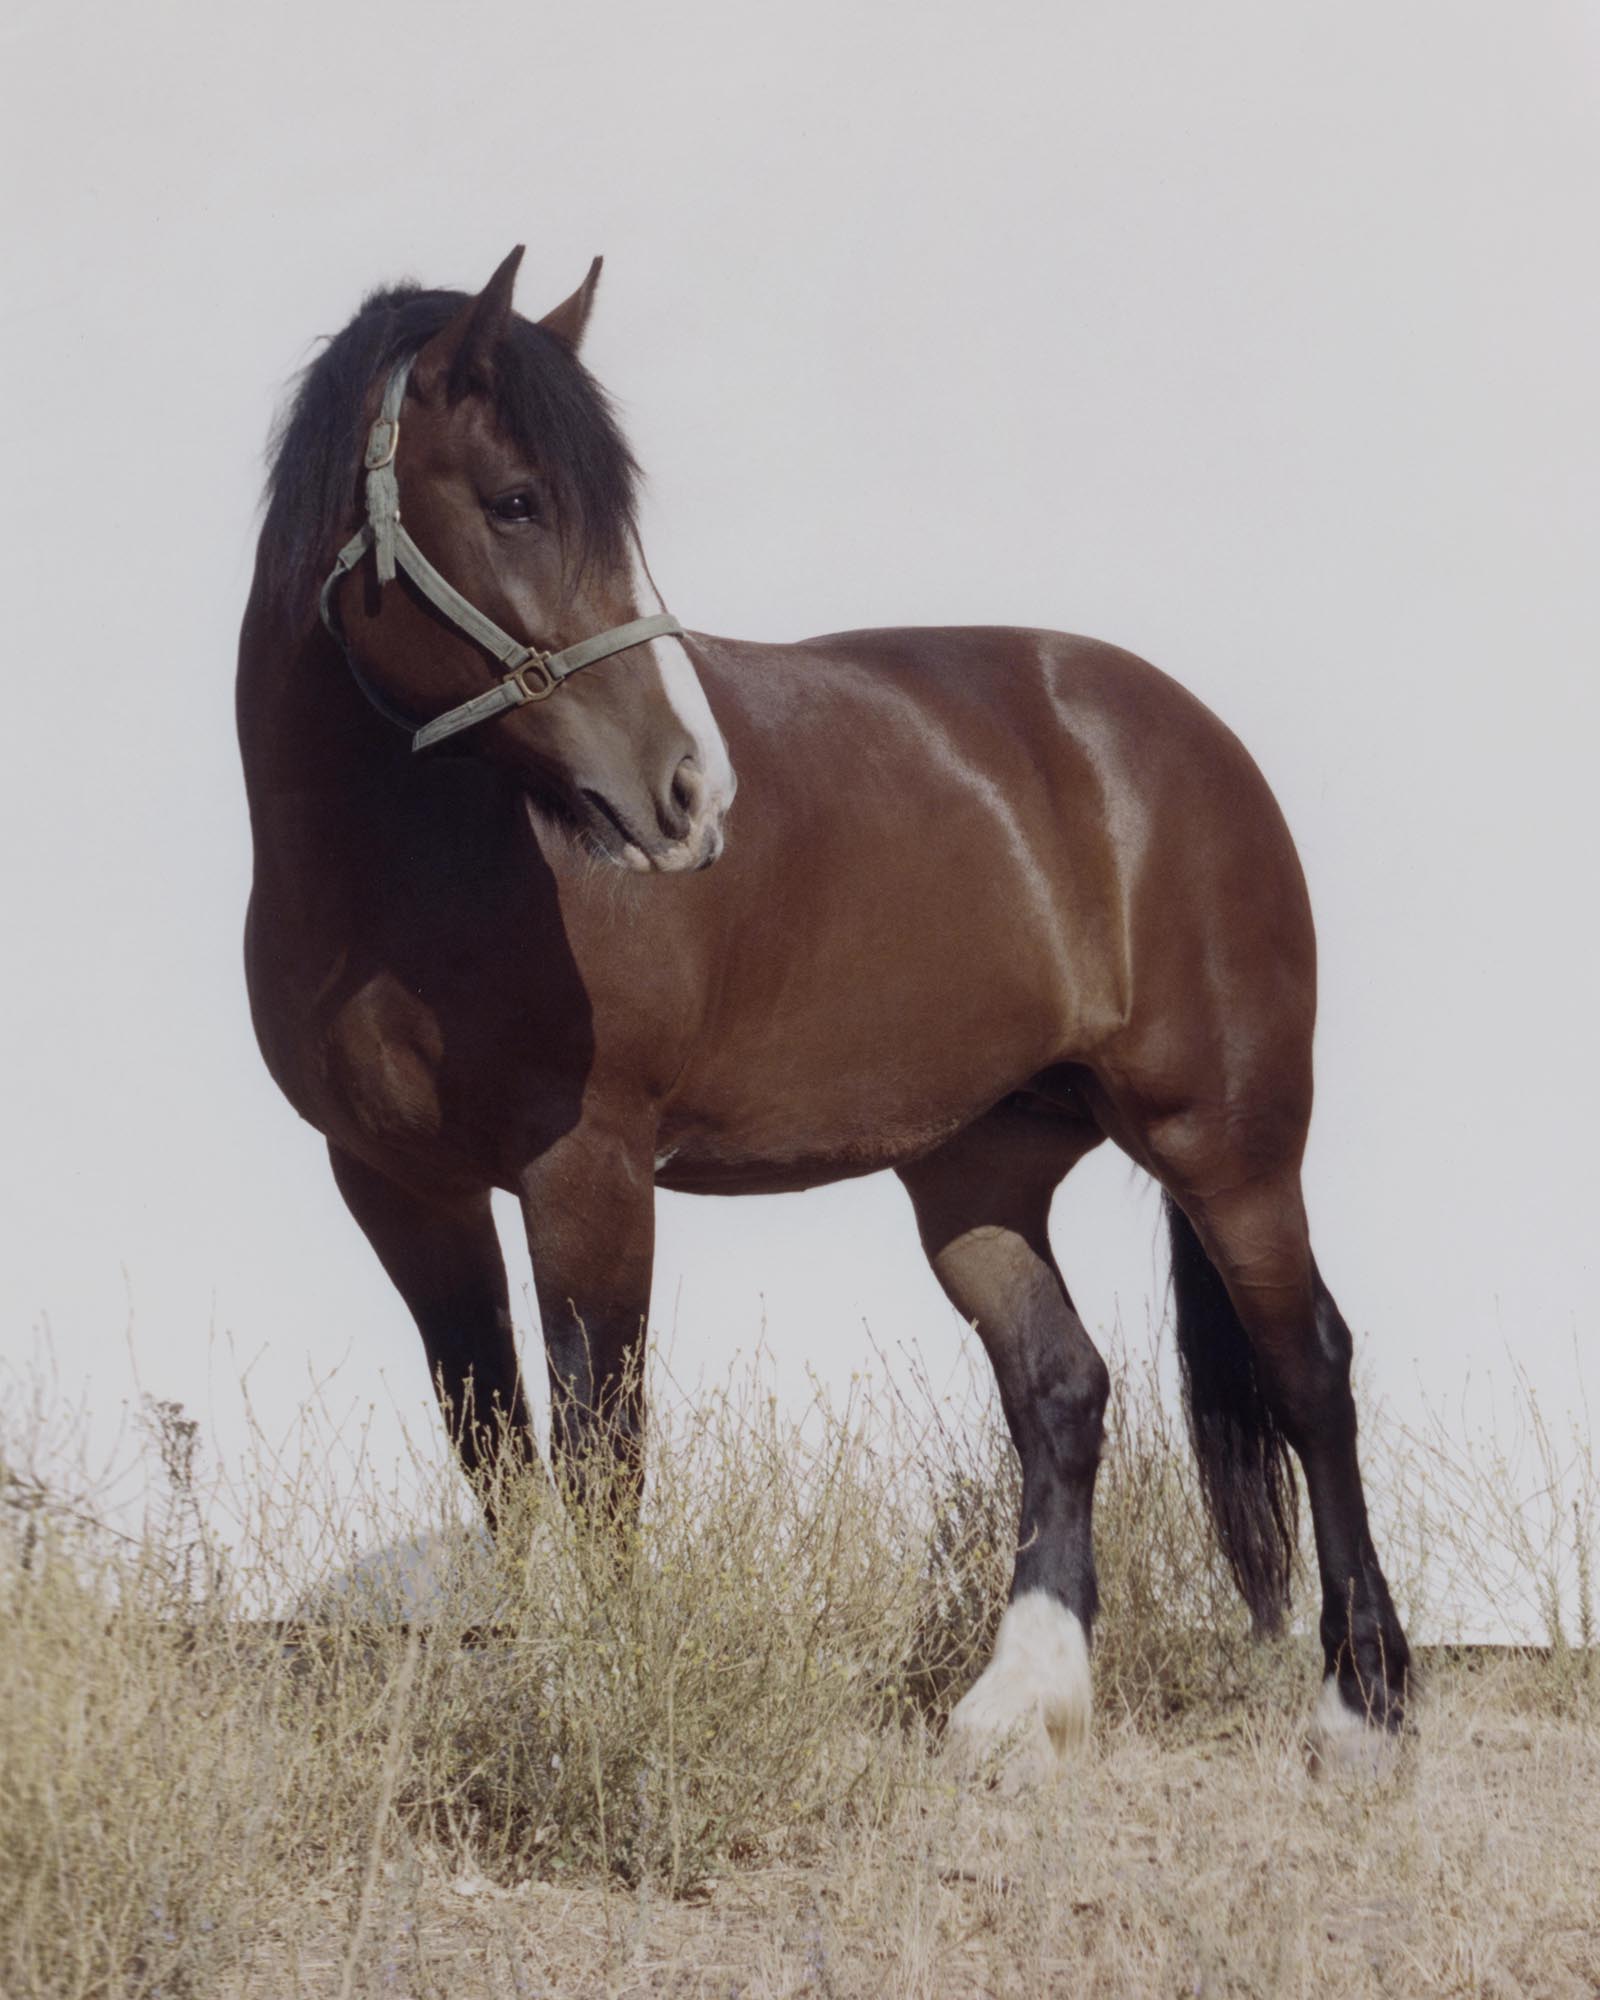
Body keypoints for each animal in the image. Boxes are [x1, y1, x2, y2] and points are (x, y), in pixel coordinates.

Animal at [238, 245, 1410, 1769]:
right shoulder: (396, 1186)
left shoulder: (588, 1174)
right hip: (977, 1171)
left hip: (1229, 1142)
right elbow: (496, 1444)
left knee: (1310, 1368)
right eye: (515, 500)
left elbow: (604, 1453)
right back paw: (1020, 1701)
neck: (417, 867)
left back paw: (1361, 1705)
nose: (692, 791)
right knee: (1061, 1388)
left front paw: (603, 1710)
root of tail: (1178, 732)